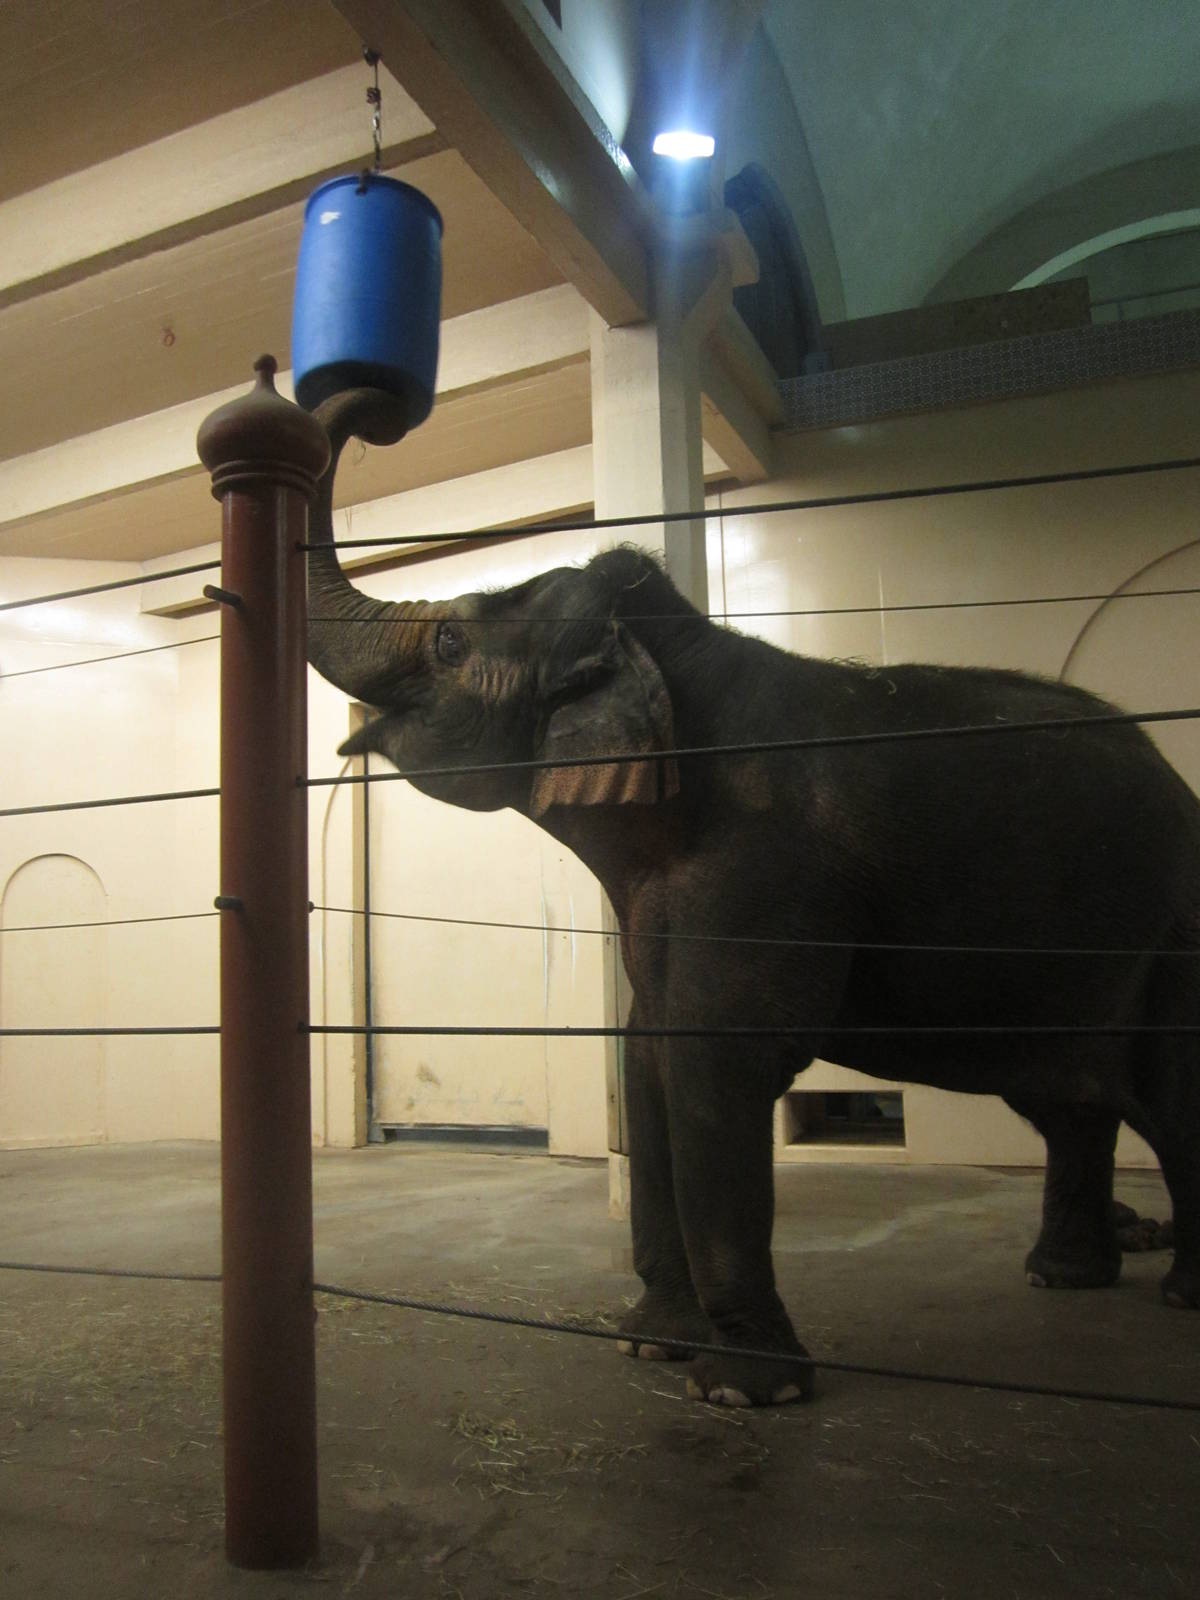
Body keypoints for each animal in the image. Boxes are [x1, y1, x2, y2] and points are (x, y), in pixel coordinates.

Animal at [307, 390, 1200, 1407]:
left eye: (451, 640)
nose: (383, 409)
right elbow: (649, 1061)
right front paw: (652, 1347)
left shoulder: (762, 870)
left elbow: (712, 1067)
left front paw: (745, 1392)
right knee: (1070, 1102)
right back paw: (1063, 1278)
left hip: (1177, 931)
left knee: (1170, 1097)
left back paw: (1179, 1295)